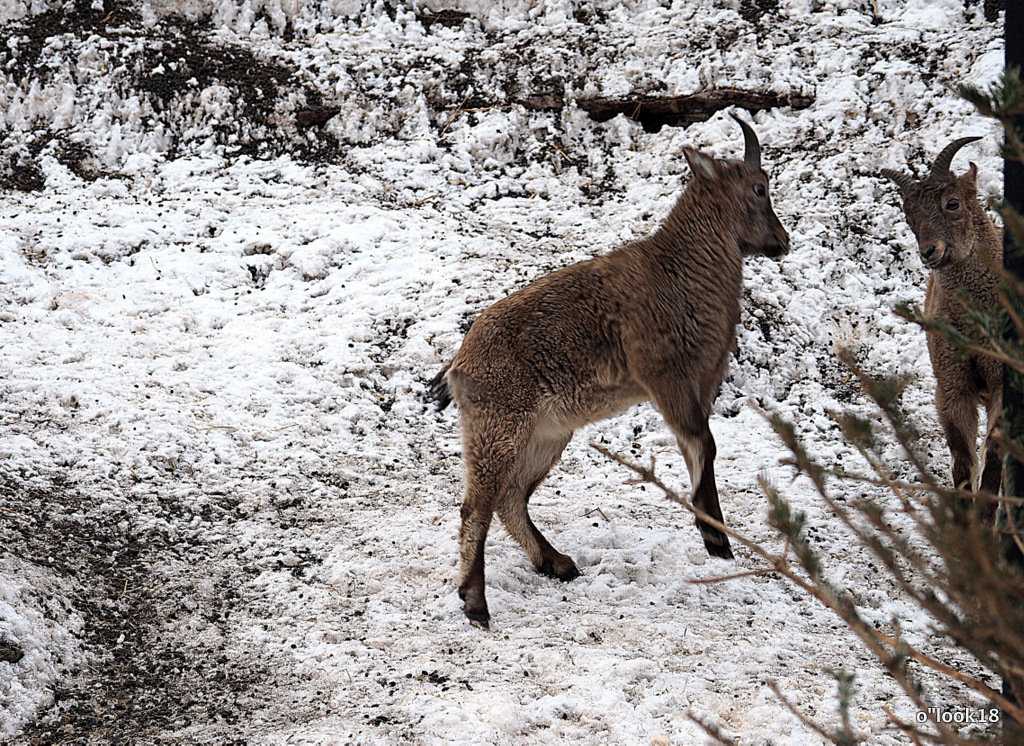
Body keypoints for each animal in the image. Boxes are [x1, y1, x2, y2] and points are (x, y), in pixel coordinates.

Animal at [428, 116, 786, 626]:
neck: (680, 270)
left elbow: (700, 447)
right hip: (499, 429)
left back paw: (555, 563)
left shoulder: (698, 384)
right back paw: (476, 602)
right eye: (759, 187)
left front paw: (714, 535)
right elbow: (704, 444)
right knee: (476, 506)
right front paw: (715, 537)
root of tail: (460, 363)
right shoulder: (666, 379)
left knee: (510, 497)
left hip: (546, 434)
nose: (782, 243)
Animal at [884, 137, 1003, 515]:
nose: (929, 252)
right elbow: (963, 459)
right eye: (909, 216)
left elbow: (993, 453)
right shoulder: (952, 386)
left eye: (952, 203)